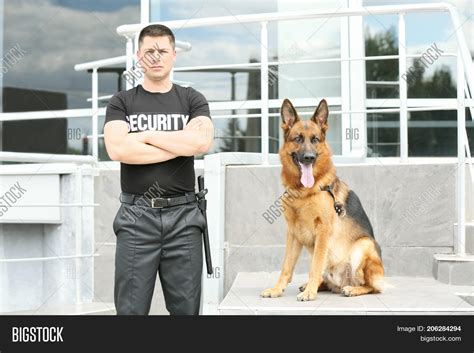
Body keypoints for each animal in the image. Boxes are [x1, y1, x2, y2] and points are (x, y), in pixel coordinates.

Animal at [262, 98, 384, 300]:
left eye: (315, 139)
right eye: (298, 139)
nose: (309, 158)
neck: (303, 193)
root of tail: (341, 283)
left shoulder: (323, 231)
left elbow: (315, 266)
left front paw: (310, 293)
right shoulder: (293, 233)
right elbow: (286, 266)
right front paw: (277, 289)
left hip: (364, 245)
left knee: (373, 286)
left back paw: (351, 289)